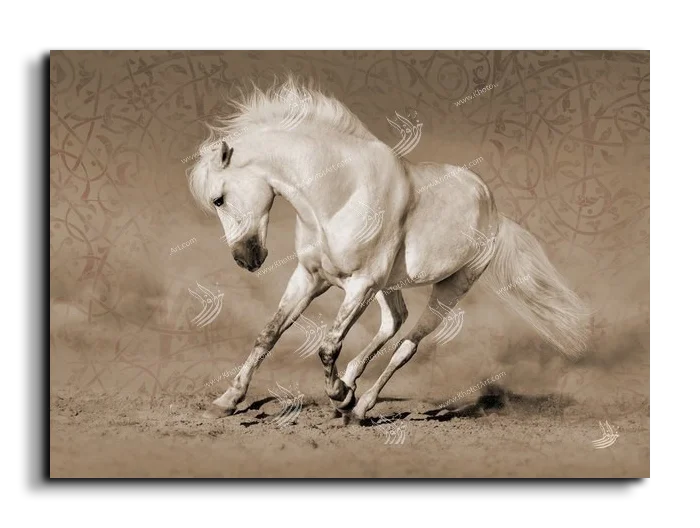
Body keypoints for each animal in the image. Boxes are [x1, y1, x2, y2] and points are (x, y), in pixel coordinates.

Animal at [187, 78, 590, 423]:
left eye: (218, 199)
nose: (246, 259)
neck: (338, 195)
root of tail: (496, 214)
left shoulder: (361, 284)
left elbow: (328, 347)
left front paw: (337, 394)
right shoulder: (310, 277)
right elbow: (269, 334)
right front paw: (227, 401)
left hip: (451, 288)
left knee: (407, 345)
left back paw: (359, 406)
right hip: (388, 286)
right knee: (394, 321)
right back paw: (351, 386)